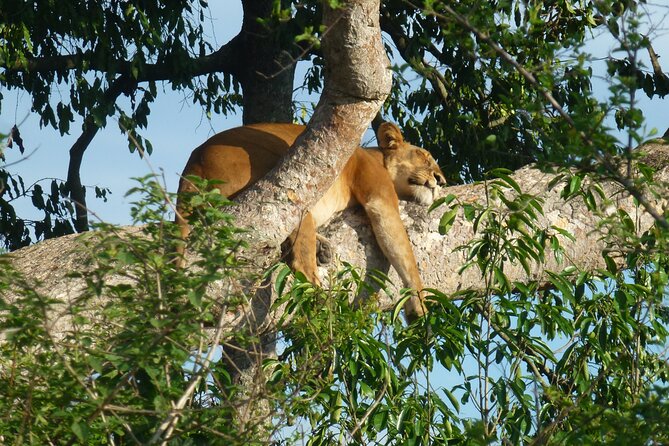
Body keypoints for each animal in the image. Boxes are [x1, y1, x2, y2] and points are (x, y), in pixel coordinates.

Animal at [176, 122, 445, 321]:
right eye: (424, 157)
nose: (441, 180)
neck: (375, 156)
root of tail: (192, 169)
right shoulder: (379, 197)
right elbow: (403, 253)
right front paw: (419, 303)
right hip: (290, 189)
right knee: (300, 263)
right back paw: (322, 301)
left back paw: (321, 248)